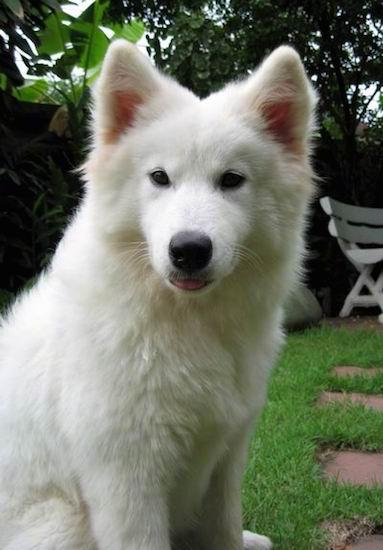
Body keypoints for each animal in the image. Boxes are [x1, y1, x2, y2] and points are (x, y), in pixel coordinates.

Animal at [0, 41, 316, 548]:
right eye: (160, 177)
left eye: (231, 180)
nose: (189, 250)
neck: (184, 321)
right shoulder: (127, 479)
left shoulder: (225, 455)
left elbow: (224, 529)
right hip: (63, 523)